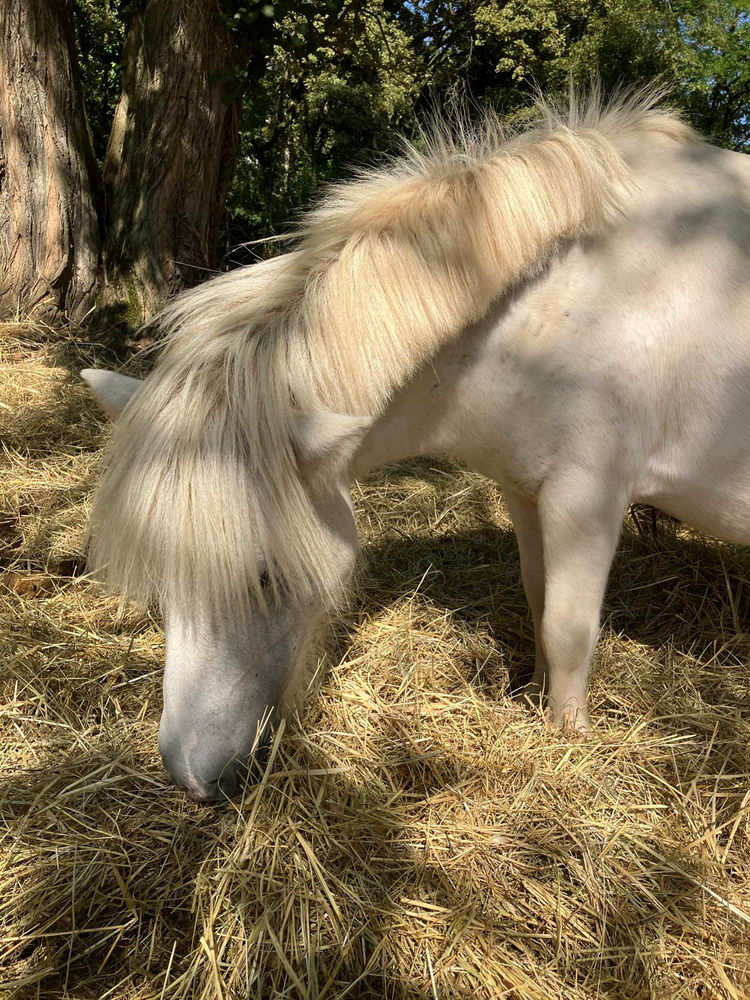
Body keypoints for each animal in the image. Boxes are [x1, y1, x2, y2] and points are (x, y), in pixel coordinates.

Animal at [82, 92, 750, 802]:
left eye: (265, 576)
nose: (193, 778)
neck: (565, 304)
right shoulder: (525, 490)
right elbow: (538, 599)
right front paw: (537, 701)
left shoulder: (587, 498)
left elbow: (569, 629)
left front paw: (569, 741)